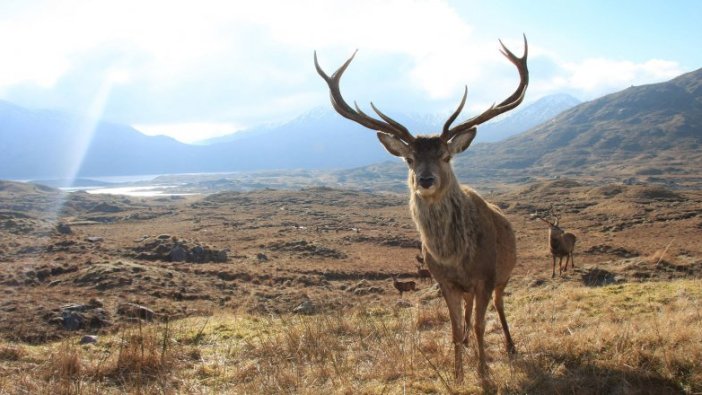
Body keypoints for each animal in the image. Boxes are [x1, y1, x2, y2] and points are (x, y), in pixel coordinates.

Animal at [316, 35, 532, 382]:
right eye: (409, 158)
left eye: (446, 155)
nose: (426, 179)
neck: (455, 257)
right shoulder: (443, 280)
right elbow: (455, 328)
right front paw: (458, 374)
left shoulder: (485, 275)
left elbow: (481, 324)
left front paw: (484, 372)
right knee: (468, 312)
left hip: (505, 273)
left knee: (499, 306)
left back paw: (511, 347)